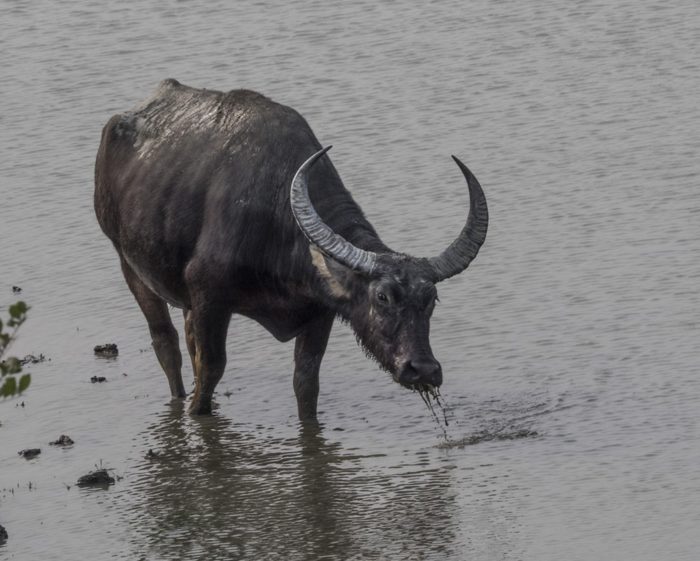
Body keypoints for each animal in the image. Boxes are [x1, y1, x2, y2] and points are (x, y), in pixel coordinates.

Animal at [94, 81, 486, 418]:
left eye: (430, 299)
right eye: (382, 297)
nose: (423, 369)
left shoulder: (320, 314)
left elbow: (306, 382)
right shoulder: (209, 299)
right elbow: (211, 369)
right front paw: (197, 410)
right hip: (128, 264)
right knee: (167, 342)